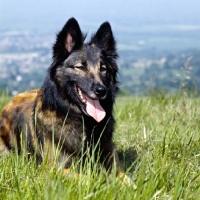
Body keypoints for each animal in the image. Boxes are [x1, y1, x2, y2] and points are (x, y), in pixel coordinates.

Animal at [0, 18, 122, 176]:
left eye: (103, 68)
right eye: (81, 67)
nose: (101, 91)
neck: (85, 121)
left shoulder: (112, 161)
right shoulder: (55, 168)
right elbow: (85, 177)